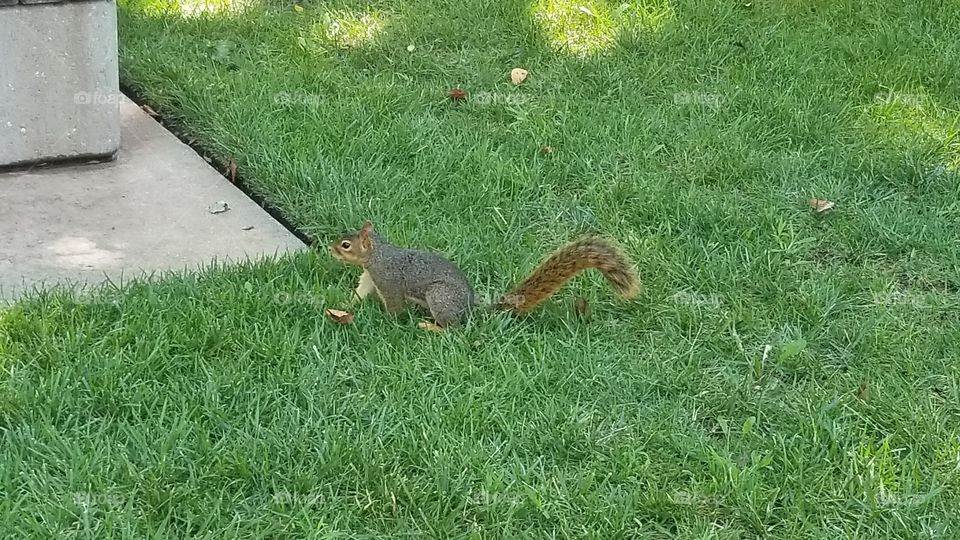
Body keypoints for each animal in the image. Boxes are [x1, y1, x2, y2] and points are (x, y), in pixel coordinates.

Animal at [328, 221, 640, 328]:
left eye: (346, 245)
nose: (330, 249)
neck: (378, 255)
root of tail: (469, 309)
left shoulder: (388, 280)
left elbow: (394, 306)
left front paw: (386, 321)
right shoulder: (369, 276)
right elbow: (360, 292)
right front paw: (347, 304)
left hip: (439, 297)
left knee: (453, 329)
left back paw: (430, 327)